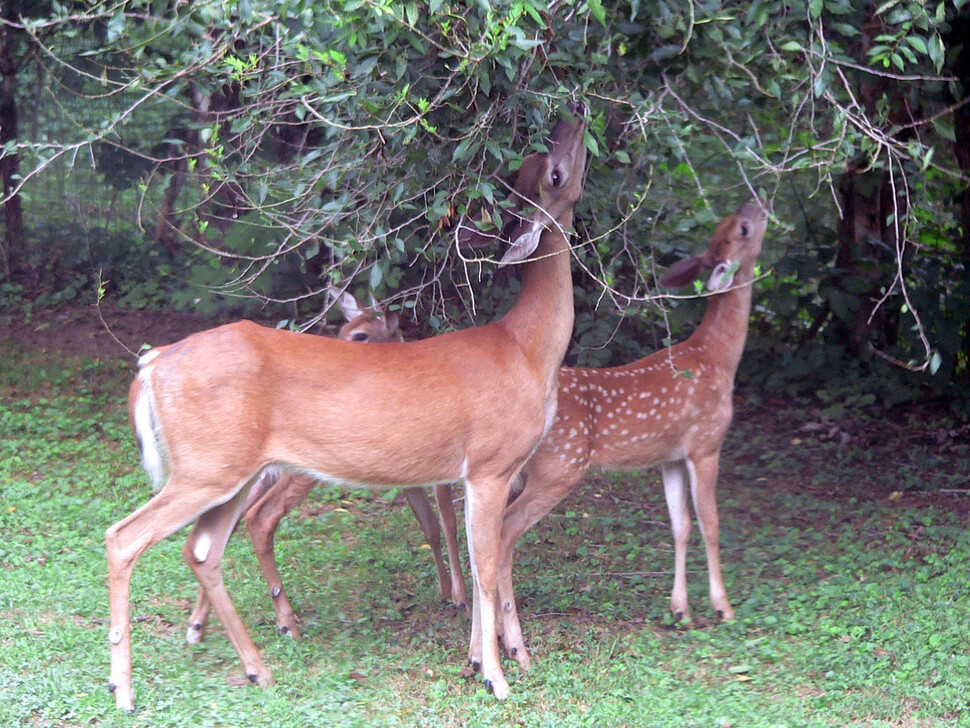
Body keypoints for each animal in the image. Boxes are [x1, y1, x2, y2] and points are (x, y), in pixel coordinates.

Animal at [182, 292, 468, 644]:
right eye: (344, 329)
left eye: (360, 335)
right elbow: (449, 523)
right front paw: (459, 597)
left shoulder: (410, 476)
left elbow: (431, 527)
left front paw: (445, 590)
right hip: (297, 471)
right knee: (258, 517)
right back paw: (284, 622)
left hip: (257, 475)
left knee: (225, 526)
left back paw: (197, 624)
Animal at [492, 199, 772, 672]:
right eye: (744, 228)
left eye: (729, 224)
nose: (756, 202)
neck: (717, 357)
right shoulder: (706, 443)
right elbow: (712, 524)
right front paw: (723, 607)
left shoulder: (670, 457)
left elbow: (680, 526)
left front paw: (680, 610)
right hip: (558, 468)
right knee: (505, 534)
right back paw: (513, 647)